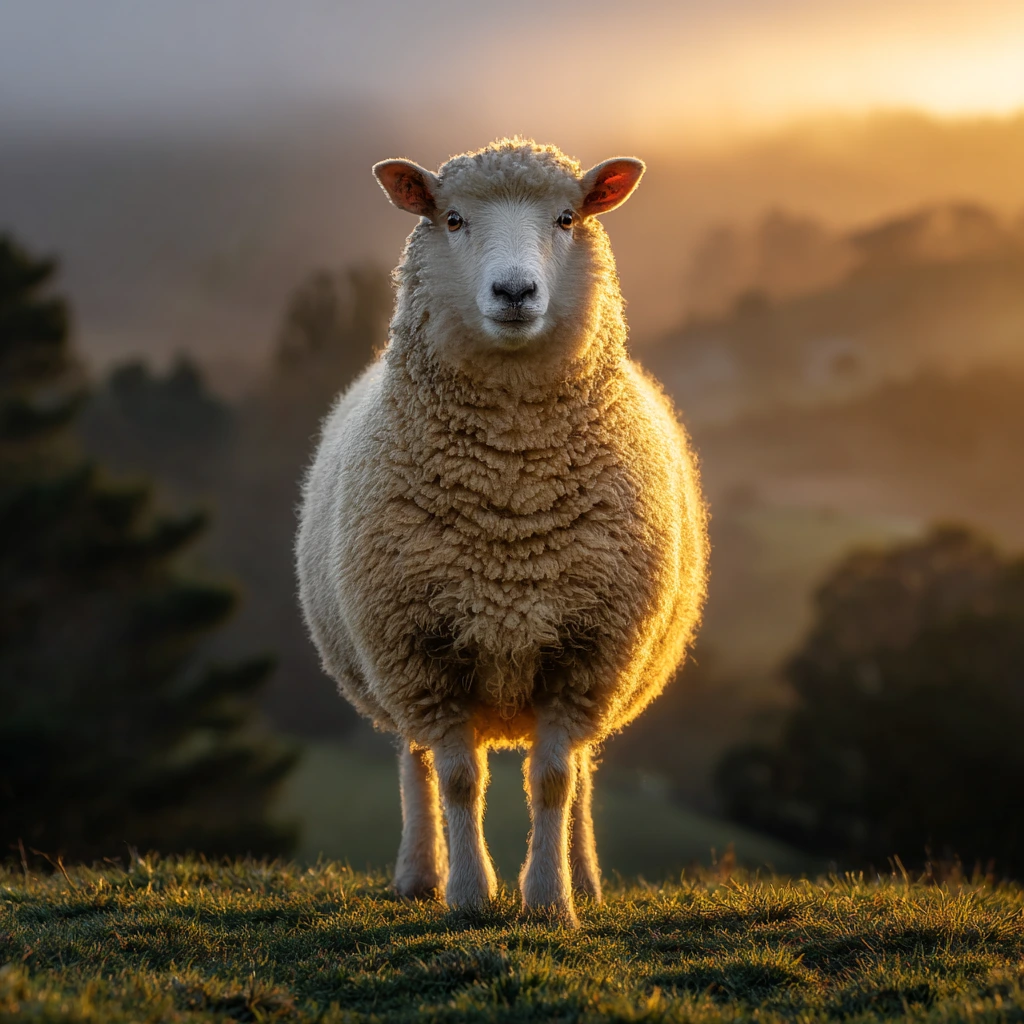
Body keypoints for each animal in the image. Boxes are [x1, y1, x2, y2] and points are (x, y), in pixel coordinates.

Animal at [296, 138, 707, 926]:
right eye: (453, 218)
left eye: (568, 217)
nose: (515, 292)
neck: (511, 495)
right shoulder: (421, 652)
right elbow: (458, 780)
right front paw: (468, 895)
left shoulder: (587, 653)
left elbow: (552, 782)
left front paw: (549, 899)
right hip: (391, 667)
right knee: (415, 764)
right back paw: (419, 874)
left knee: (580, 773)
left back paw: (585, 876)